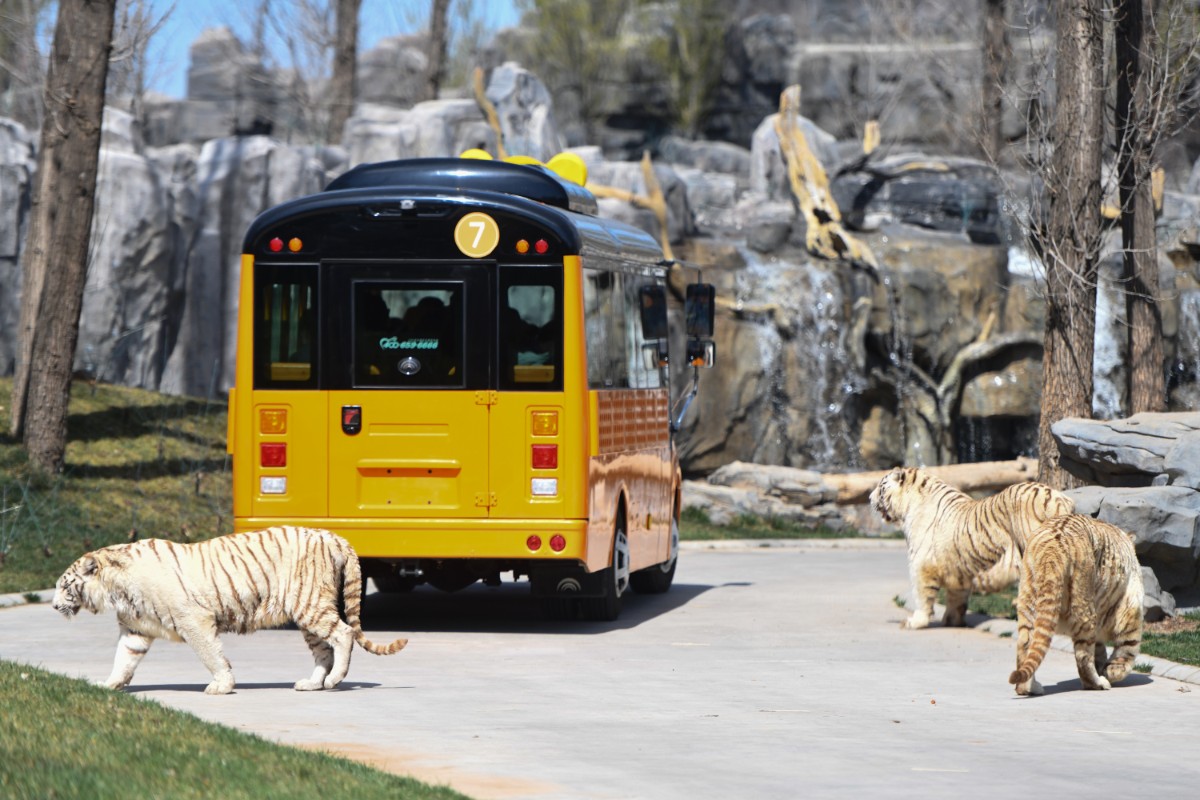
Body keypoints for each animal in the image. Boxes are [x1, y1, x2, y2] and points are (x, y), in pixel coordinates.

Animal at [52, 525, 408, 695]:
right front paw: (108, 686)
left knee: (344, 634)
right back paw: (312, 683)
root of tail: (335, 536)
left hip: (311, 605)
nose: (54, 605)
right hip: (307, 614)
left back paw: (334, 680)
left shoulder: (193, 621)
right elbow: (123, 660)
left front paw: (221, 686)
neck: (116, 590)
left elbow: (211, 655)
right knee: (324, 650)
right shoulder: (136, 629)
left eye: (65, 585)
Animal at [868, 470, 1075, 633]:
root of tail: (1058, 500)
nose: (869, 498)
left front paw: (914, 622)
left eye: (881, 486)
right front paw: (951, 620)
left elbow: (921, 595)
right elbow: (956, 597)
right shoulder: (957, 566)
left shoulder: (922, 564)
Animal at [1012, 520, 1142, 695]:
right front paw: (1113, 671)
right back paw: (1099, 683)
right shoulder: (1130, 604)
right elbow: (1128, 645)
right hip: (1084, 610)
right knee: (1083, 656)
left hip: (1028, 603)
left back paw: (1028, 689)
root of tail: (1051, 551)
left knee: (1025, 644)